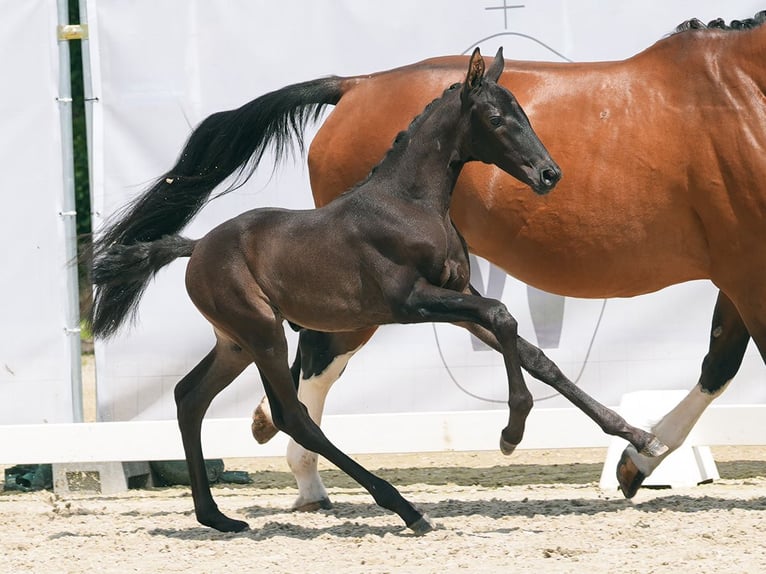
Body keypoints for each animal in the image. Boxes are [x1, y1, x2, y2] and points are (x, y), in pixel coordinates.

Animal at [94, 12, 766, 508]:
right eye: (496, 117)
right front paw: (535, 437)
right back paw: (320, 481)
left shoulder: (736, 274)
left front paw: (636, 451)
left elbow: (700, 359)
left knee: (273, 379)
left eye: (525, 113)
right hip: (336, 312)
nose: (550, 174)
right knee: (308, 372)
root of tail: (354, 84)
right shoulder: (746, 268)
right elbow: (724, 361)